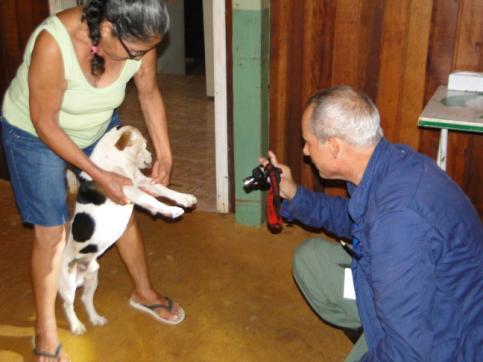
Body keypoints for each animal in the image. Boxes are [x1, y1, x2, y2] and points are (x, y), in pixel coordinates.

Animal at [58, 126, 197, 336]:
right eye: (145, 144)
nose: (152, 156)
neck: (118, 161)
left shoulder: (144, 183)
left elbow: (166, 191)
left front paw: (185, 199)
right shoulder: (131, 190)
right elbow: (154, 201)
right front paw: (172, 210)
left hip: (92, 278)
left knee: (85, 299)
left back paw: (96, 319)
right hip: (68, 284)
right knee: (68, 305)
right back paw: (77, 326)